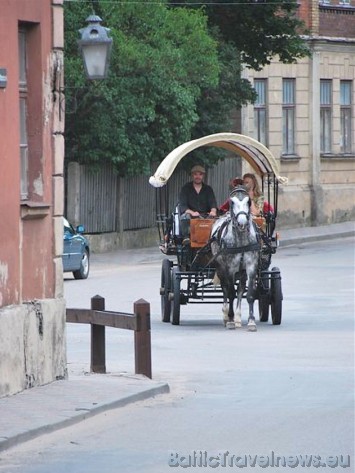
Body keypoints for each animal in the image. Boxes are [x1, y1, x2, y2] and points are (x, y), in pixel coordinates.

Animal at [211, 186, 262, 330]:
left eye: (248, 201)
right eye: (232, 202)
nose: (242, 222)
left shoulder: (251, 267)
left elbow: (249, 294)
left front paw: (251, 321)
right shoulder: (230, 268)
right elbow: (230, 293)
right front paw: (230, 319)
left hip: (242, 272)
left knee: (240, 289)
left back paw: (238, 318)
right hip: (220, 268)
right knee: (225, 289)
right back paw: (226, 316)